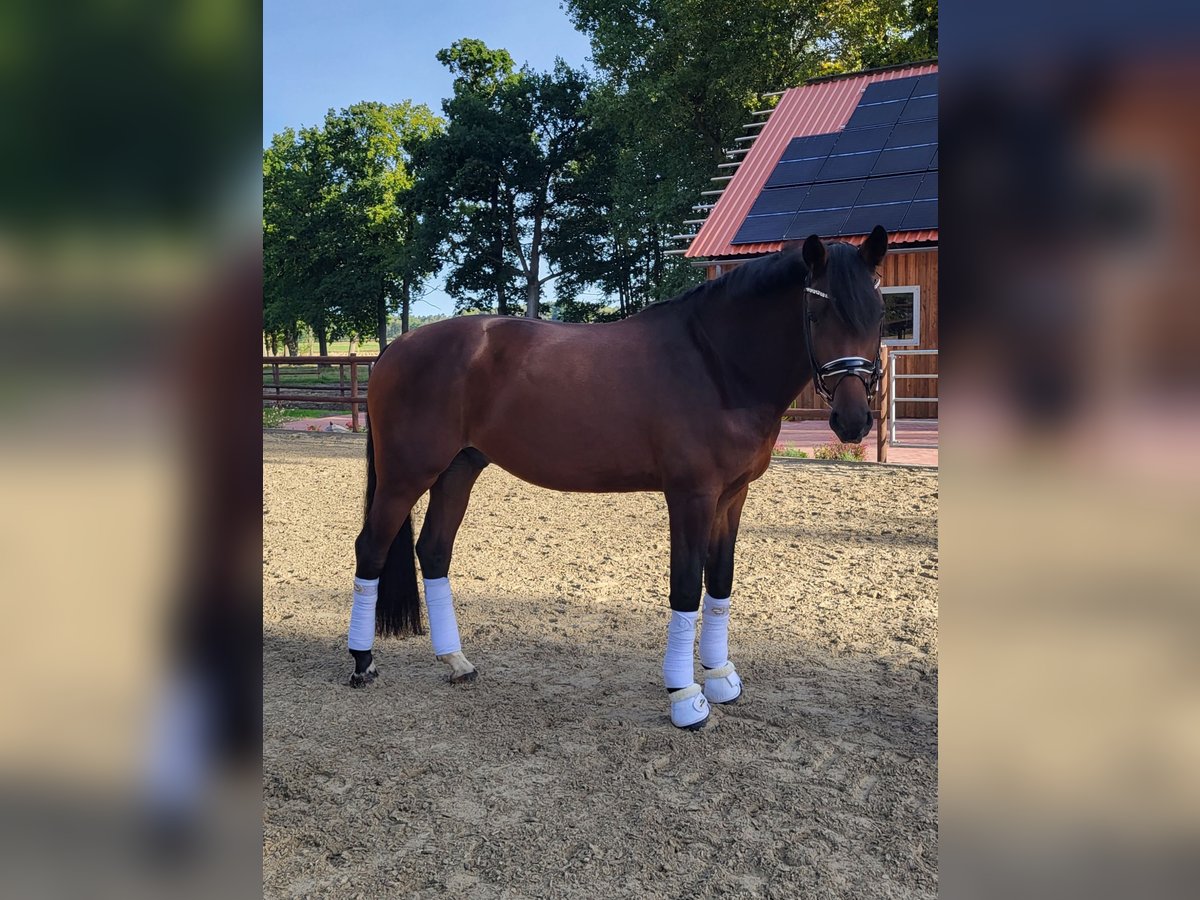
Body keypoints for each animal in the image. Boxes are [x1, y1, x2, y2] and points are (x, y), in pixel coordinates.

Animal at [343, 229, 888, 729]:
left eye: (878, 315)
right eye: (816, 315)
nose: (853, 421)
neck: (716, 363)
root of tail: (395, 349)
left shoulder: (733, 496)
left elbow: (720, 582)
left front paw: (719, 677)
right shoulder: (691, 496)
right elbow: (686, 587)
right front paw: (686, 697)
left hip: (459, 469)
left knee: (434, 551)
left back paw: (456, 662)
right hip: (406, 474)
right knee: (371, 548)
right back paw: (362, 663)